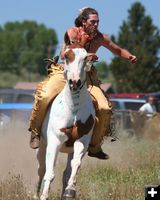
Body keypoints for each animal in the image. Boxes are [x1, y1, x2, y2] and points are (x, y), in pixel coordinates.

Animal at [34, 47, 95, 200]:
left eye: (85, 58)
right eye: (67, 57)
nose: (75, 82)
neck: (73, 108)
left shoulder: (81, 141)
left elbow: (75, 164)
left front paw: (70, 190)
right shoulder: (54, 141)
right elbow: (49, 172)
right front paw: (44, 196)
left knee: (66, 170)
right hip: (42, 145)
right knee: (41, 169)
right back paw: (36, 194)